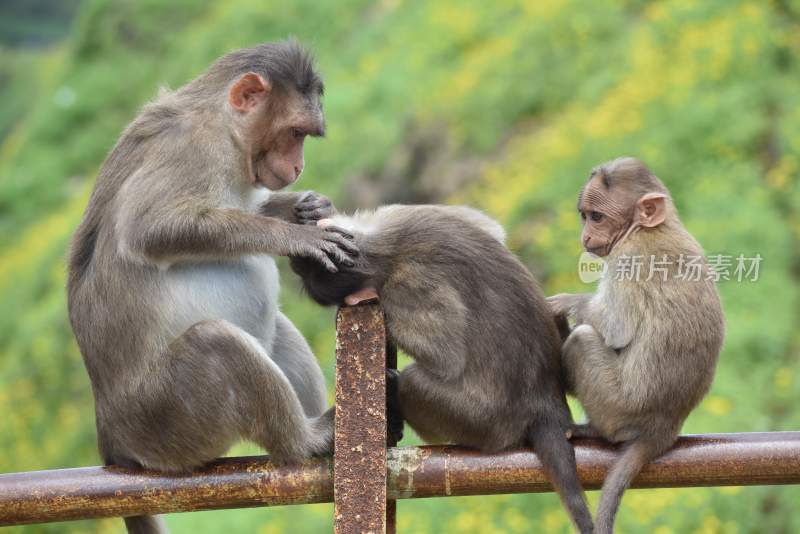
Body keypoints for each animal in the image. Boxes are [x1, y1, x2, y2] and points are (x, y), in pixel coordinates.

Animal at [68, 42, 356, 534]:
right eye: (295, 132)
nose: (298, 167)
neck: (225, 128)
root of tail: (111, 431)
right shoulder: (193, 148)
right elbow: (149, 228)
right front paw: (294, 235)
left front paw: (307, 208)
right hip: (167, 417)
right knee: (217, 343)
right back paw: (306, 438)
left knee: (275, 328)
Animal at [290, 204, 592, 532]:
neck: (380, 245)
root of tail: (547, 403)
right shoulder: (398, 213)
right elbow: (490, 228)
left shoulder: (406, 286)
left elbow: (446, 357)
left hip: (482, 422)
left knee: (413, 383)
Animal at [552, 158, 724, 534]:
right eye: (584, 215)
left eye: (597, 216)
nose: (585, 236)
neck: (647, 228)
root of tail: (666, 427)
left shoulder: (628, 259)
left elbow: (616, 329)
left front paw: (562, 304)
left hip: (619, 406)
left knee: (583, 340)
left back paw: (593, 429)